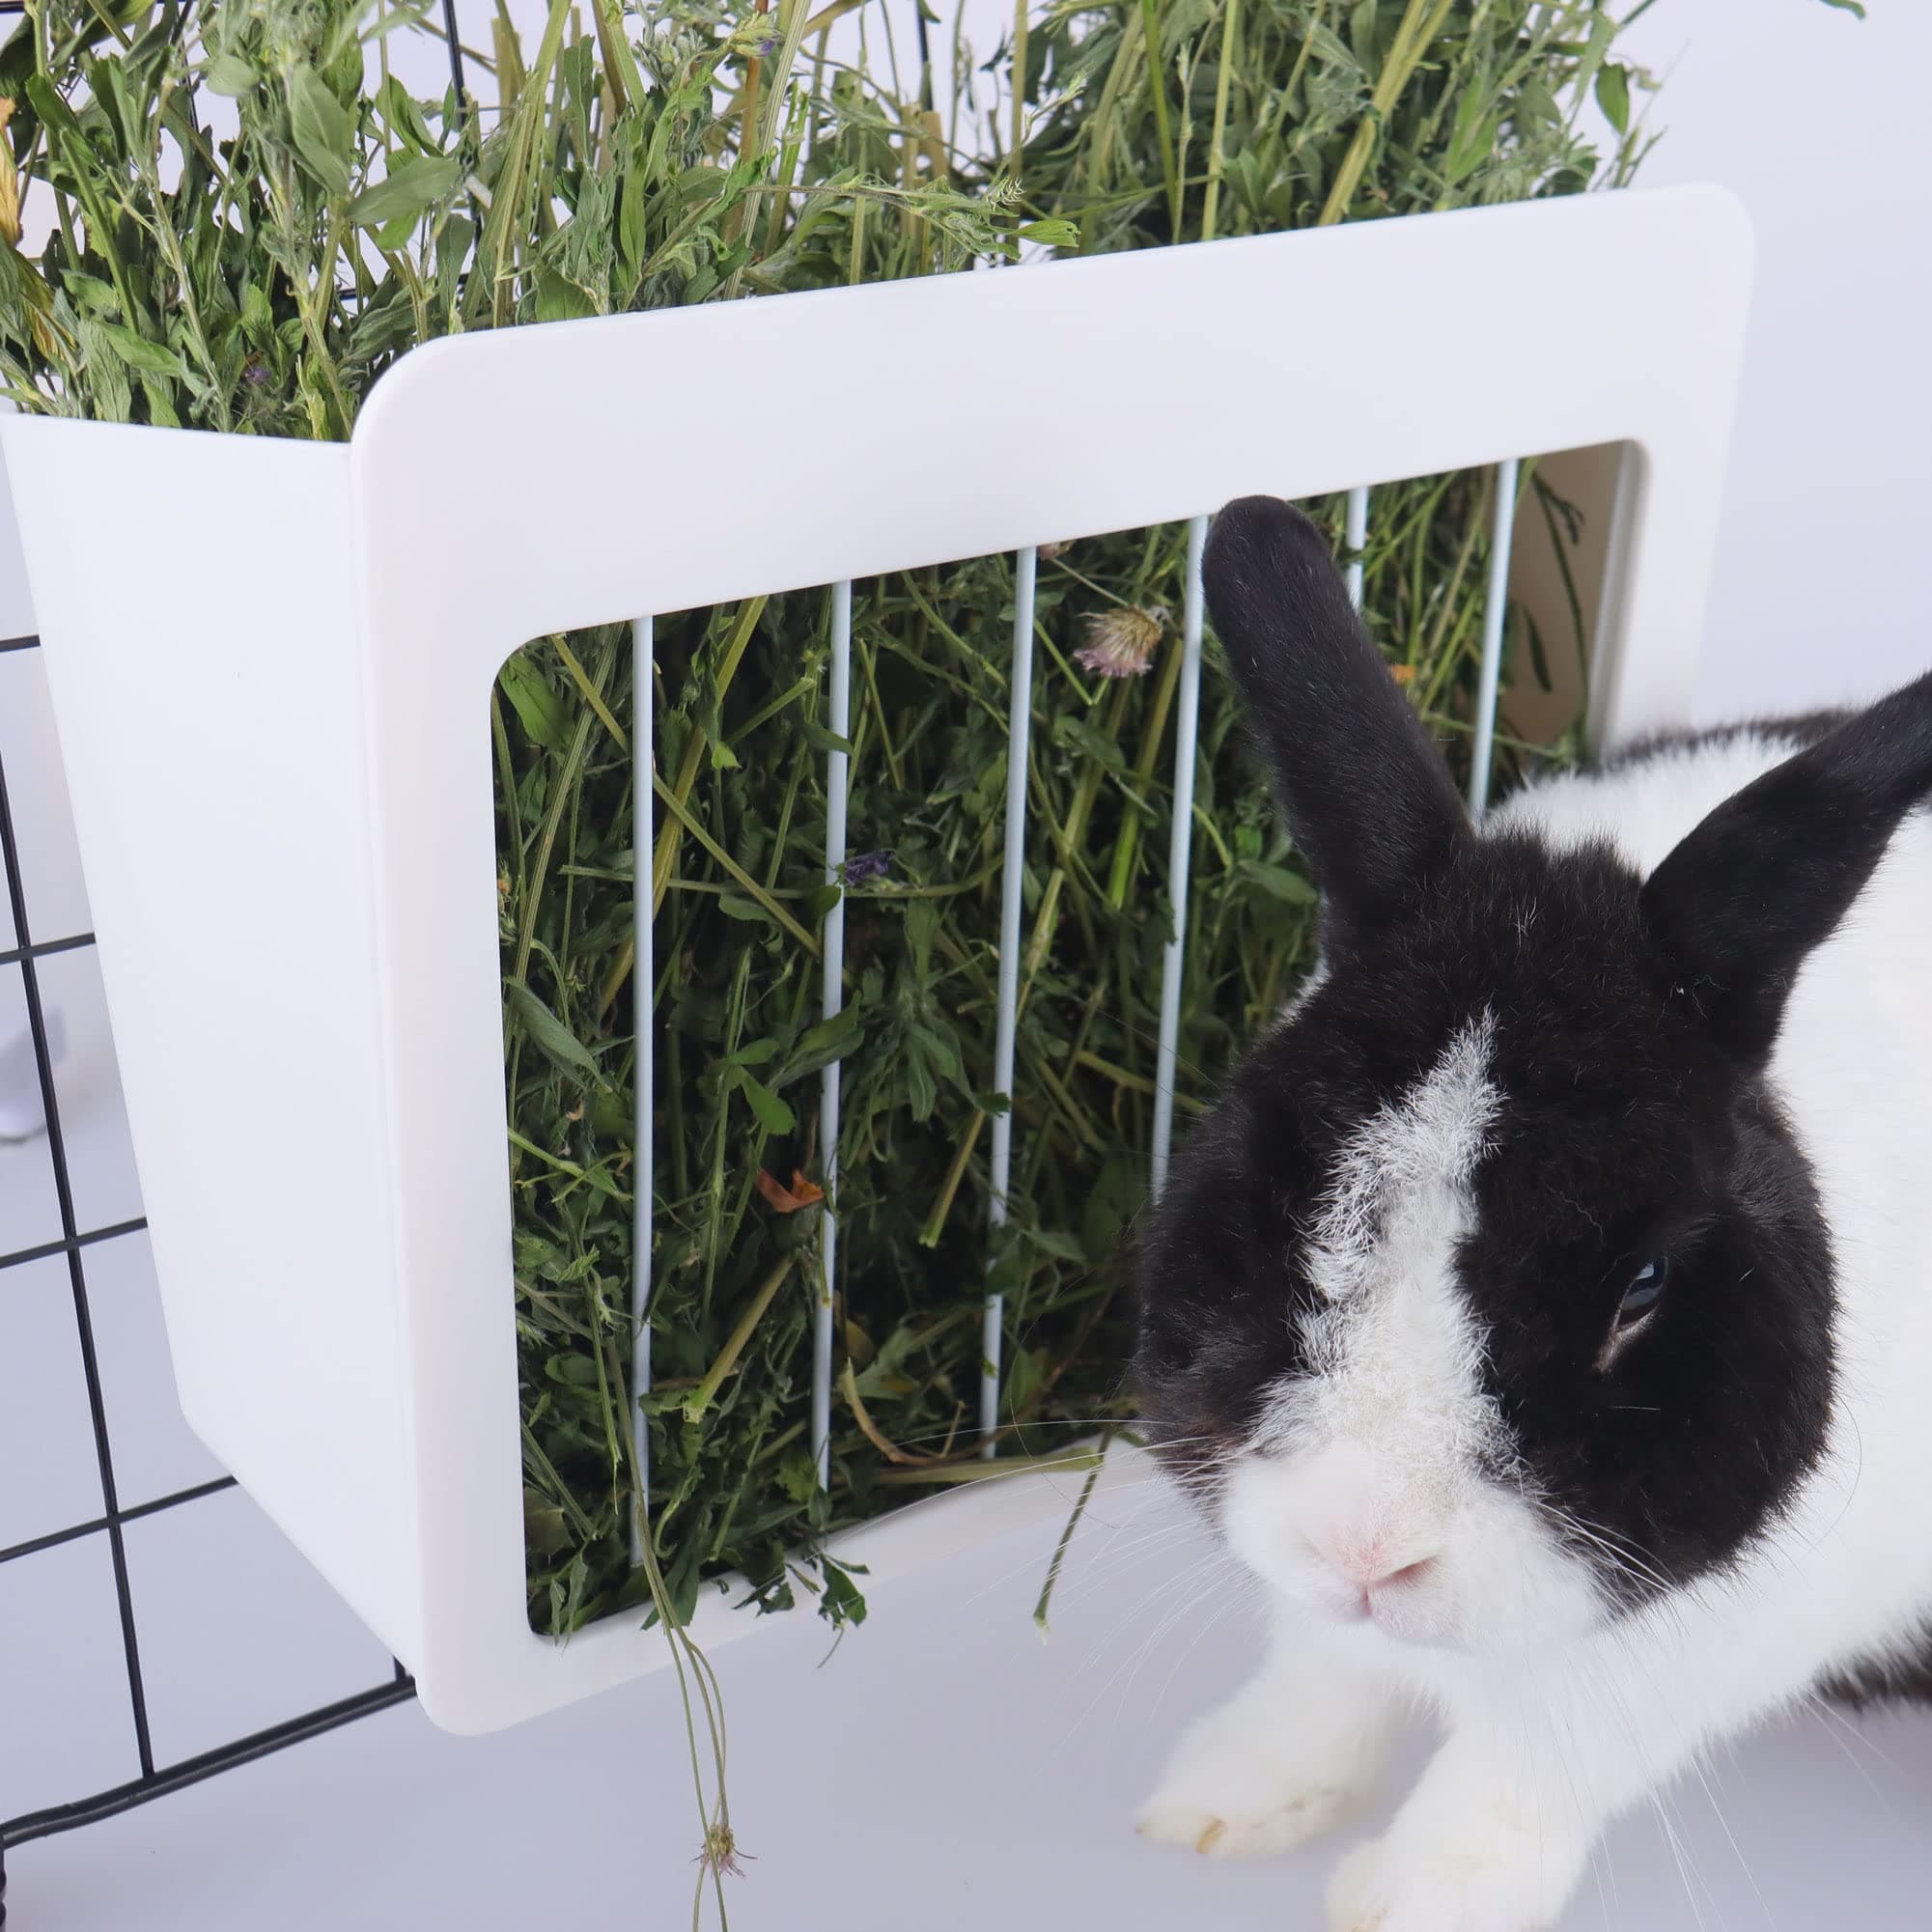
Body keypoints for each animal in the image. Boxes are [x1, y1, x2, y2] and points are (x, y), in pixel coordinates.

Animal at [1131, 494, 1932, 1931]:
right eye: (1287, 1197)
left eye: (1642, 1287)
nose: (1366, 1546)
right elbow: (1319, 1675)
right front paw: (1220, 1807)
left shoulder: (1680, 1654)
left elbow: (1523, 1764)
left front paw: (1404, 1905)